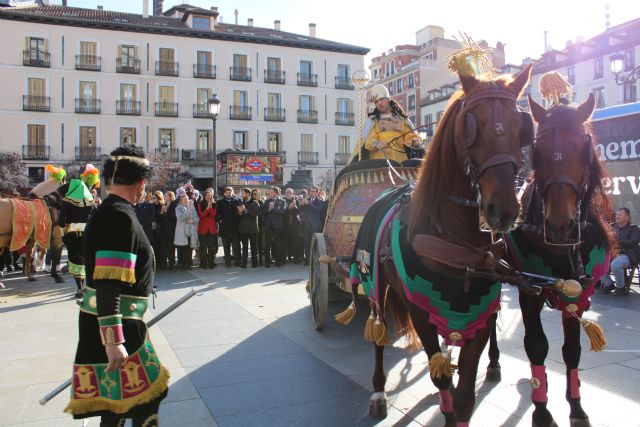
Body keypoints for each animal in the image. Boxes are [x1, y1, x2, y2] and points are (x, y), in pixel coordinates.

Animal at [356, 64, 536, 427]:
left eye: (521, 126)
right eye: (471, 125)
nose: (504, 209)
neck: (452, 237)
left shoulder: (479, 310)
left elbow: (464, 394)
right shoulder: (421, 313)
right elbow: (441, 379)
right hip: (376, 286)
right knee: (378, 334)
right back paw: (379, 391)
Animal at [488, 94, 612, 427]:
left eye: (583, 147)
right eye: (538, 150)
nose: (559, 225)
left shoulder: (576, 295)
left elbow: (572, 351)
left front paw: (576, 407)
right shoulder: (528, 292)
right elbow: (536, 346)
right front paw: (542, 410)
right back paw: (493, 363)